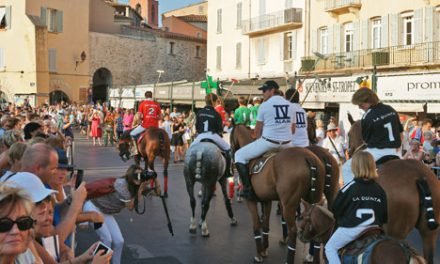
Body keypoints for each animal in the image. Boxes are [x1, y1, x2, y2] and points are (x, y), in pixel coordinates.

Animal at [230, 125, 326, 262]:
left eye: (231, 136)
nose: (231, 155)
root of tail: (309, 157)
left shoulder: (251, 201)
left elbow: (256, 225)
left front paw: (259, 254)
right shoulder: (266, 201)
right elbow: (265, 225)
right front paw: (264, 249)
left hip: (288, 205)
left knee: (293, 231)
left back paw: (288, 259)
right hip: (314, 201)